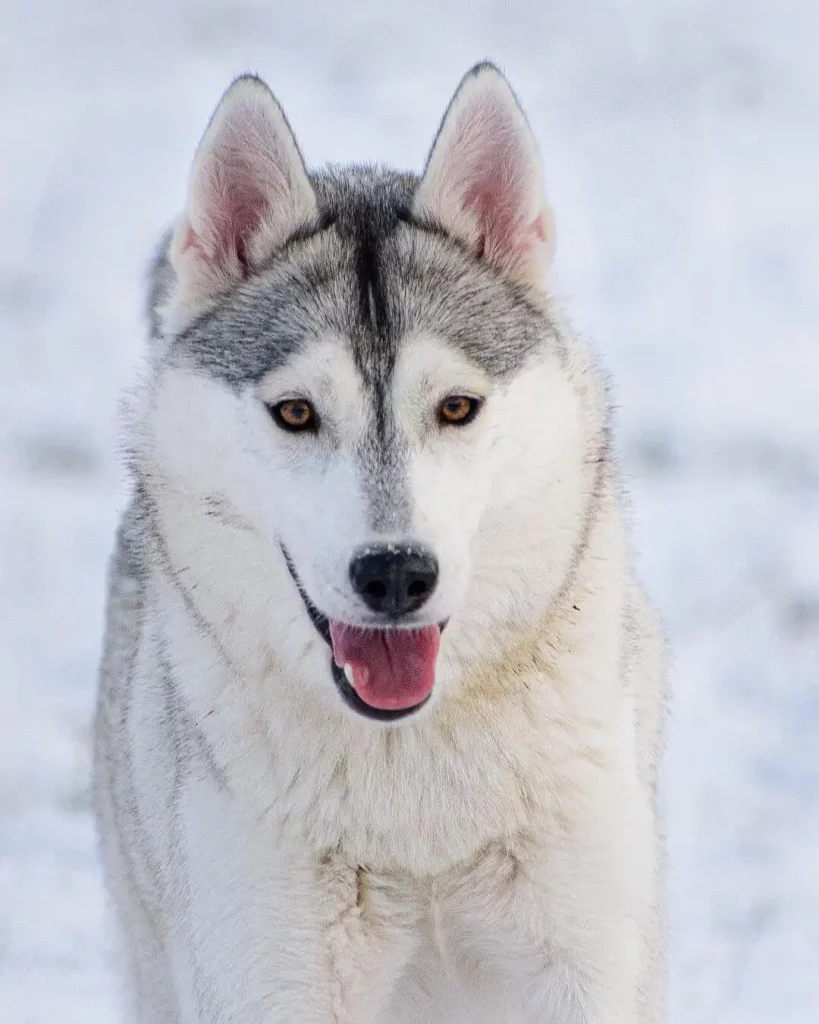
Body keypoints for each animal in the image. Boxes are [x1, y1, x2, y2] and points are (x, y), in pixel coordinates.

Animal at [94, 64, 663, 1024]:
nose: (395, 574)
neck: (415, 808)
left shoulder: (588, 961)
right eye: (295, 412)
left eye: (457, 406)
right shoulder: (269, 977)